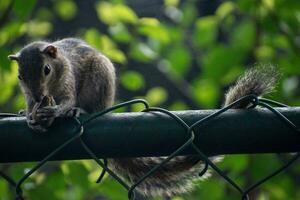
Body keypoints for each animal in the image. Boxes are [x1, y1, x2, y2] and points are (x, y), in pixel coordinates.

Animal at [7, 38, 278, 198]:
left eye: (46, 70)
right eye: (19, 77)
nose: (39, 95)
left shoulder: (68, 80)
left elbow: (66, 101)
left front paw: (56, 111)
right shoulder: (31, 95)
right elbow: (31, 107)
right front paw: (29, 116)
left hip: (100, 78)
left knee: (91, 107)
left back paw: (81, 112)